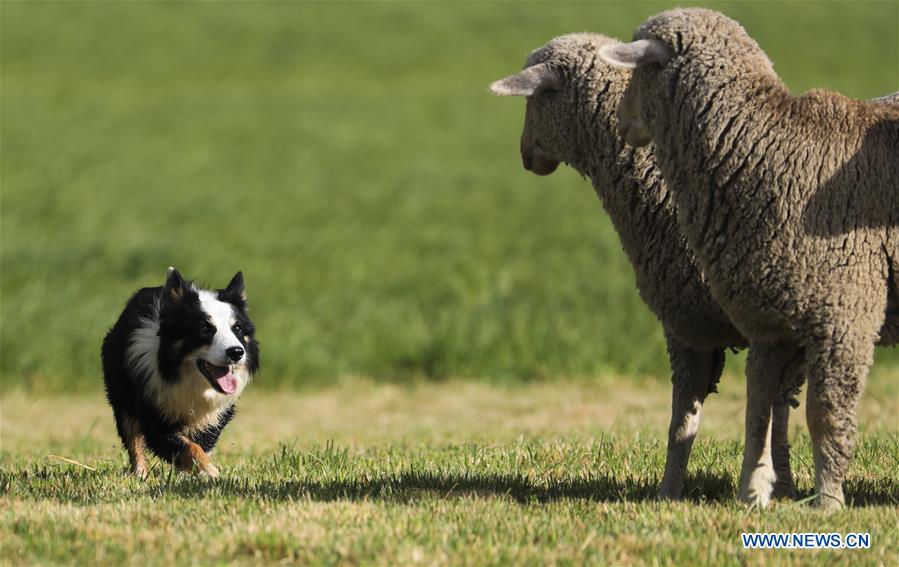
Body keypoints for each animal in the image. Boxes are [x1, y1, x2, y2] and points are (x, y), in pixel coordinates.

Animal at [106, 268, 262, 478]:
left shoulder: (214, 417)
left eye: (237, 328)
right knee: (132, 435)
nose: (237, 352)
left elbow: (201, 444)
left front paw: (197, 473)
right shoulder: (154, 411)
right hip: (122, 393)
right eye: (205, 328)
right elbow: (187, 447)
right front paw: (211, 472)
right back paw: (140, 472)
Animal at [488, 32, 804, 502]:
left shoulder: (688, 322)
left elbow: (688, 420)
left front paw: (670, 492)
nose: (525, 155)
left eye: (537, 97)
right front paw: (782, 484)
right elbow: (772, 409)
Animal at [596, 5, 899, 510]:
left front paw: (828, 501)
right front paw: (752, 493)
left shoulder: (845, 313)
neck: (769, 150)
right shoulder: (768, 320)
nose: (621, 122)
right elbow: (758, 411)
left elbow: (825, 414)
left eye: (639, 71)